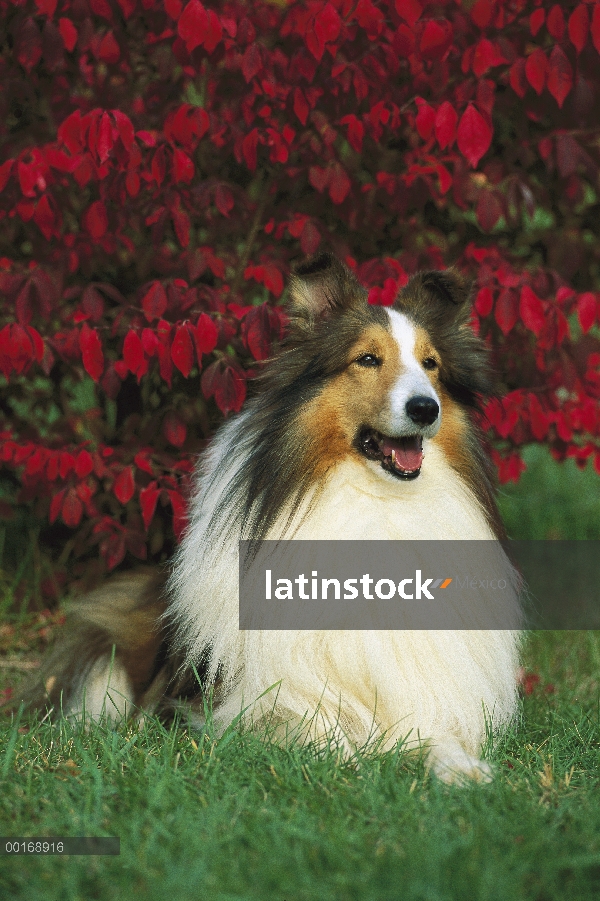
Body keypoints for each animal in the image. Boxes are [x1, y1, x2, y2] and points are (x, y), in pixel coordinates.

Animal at [22, 251, 520, 780]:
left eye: (431, 364)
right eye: (367, 359)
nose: (426, 408)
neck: (377, 503)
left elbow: (429, 731)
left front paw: (459, 767)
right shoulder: (238, 700)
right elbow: (313, 729)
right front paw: (356, 763)